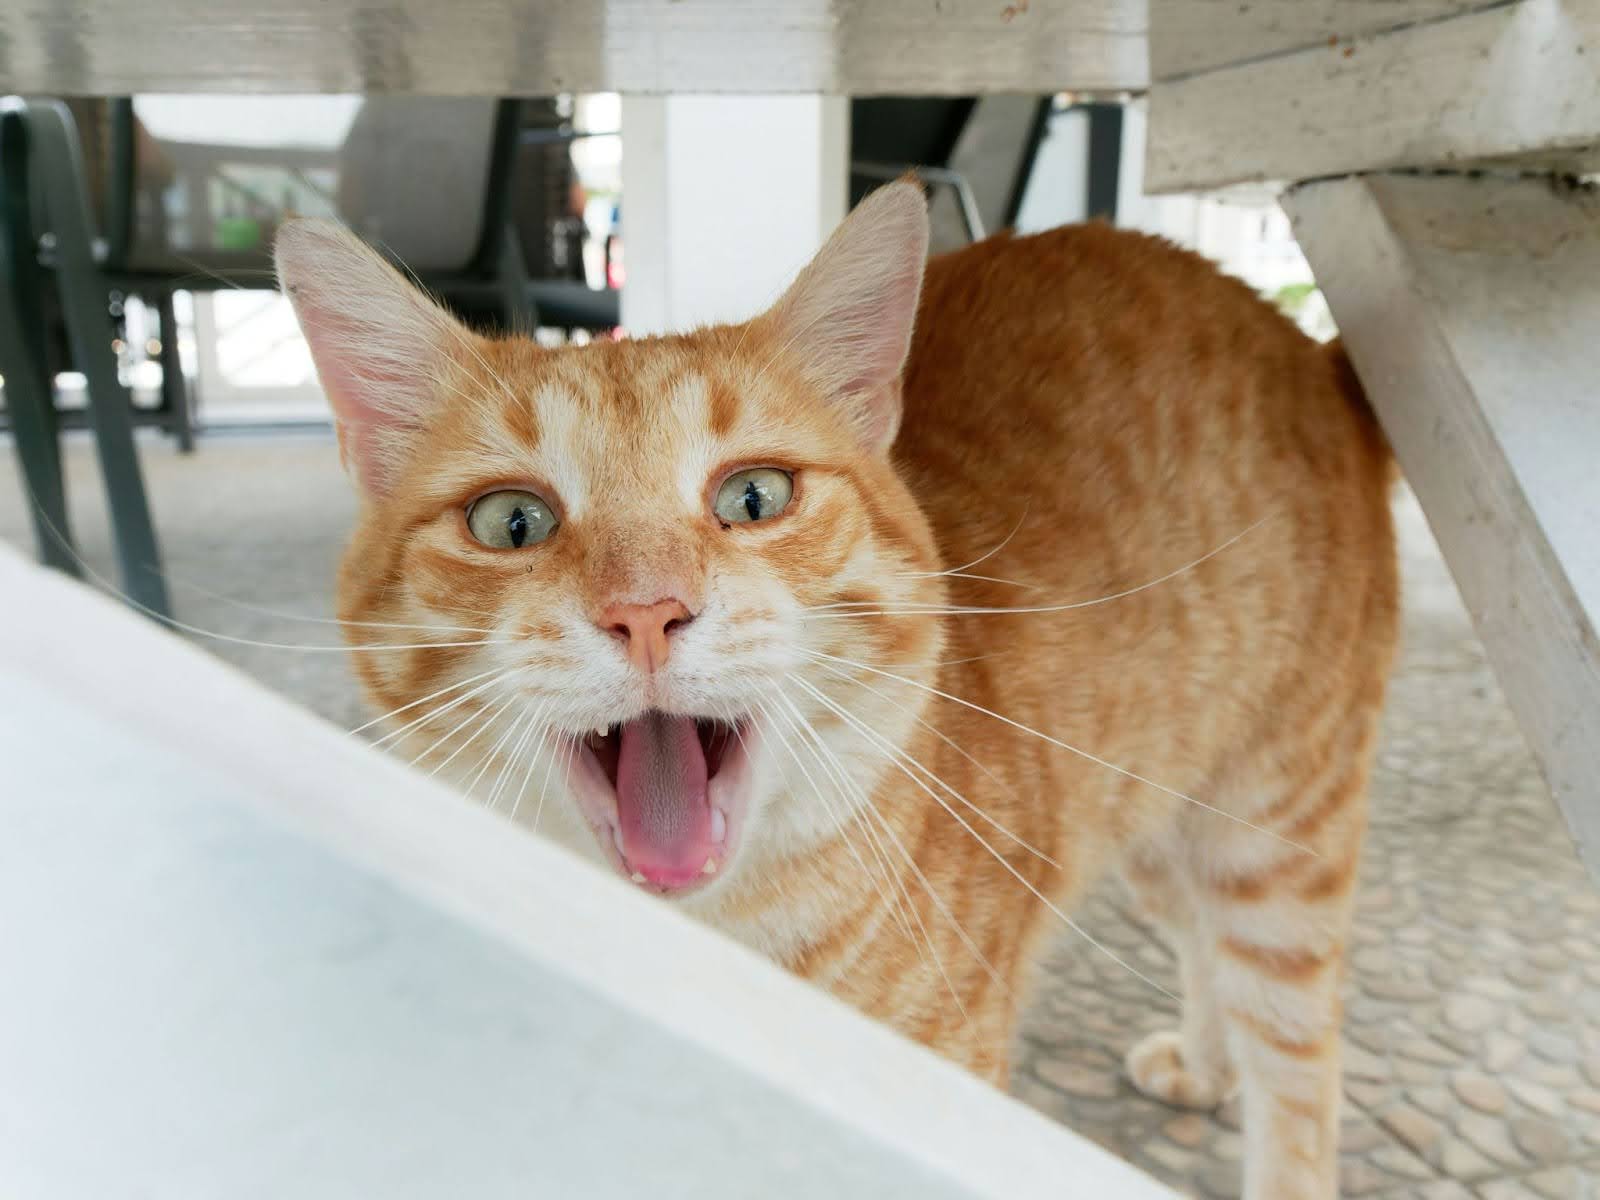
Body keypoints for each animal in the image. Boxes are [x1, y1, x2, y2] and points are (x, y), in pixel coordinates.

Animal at [278, 180, 1401, 1200]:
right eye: (510, 522)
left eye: (754, 497)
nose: (646, 611)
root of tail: (1305, 345)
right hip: (1155, 822)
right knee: (1204, 951)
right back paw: (1205, 1065)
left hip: (1276, 846)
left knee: (1296, 1073)